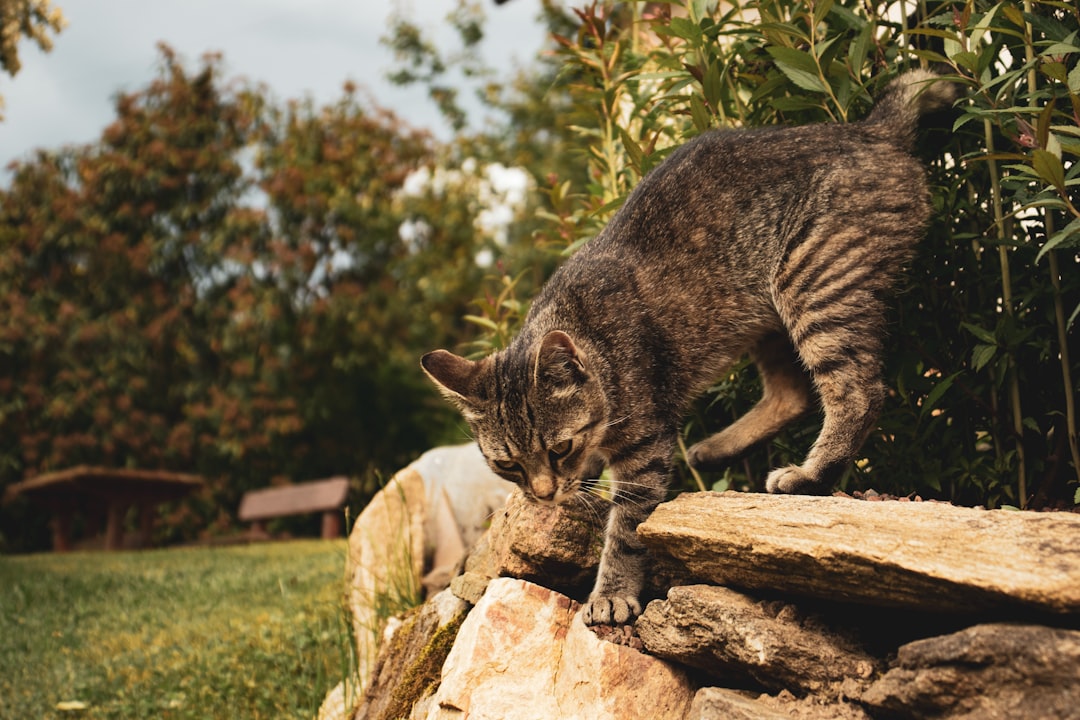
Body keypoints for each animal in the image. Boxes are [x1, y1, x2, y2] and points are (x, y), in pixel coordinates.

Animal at [419, 70, 954, 626]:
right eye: (507, 465)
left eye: (558, 447)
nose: (543, 496)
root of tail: (871, 129)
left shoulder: (644, 451)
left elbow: (625, 529)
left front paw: (611, 592)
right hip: (764, 317)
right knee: (793, 395)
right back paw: (715, 447)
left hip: (814, 288)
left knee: (857, 392)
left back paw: (808, 474)